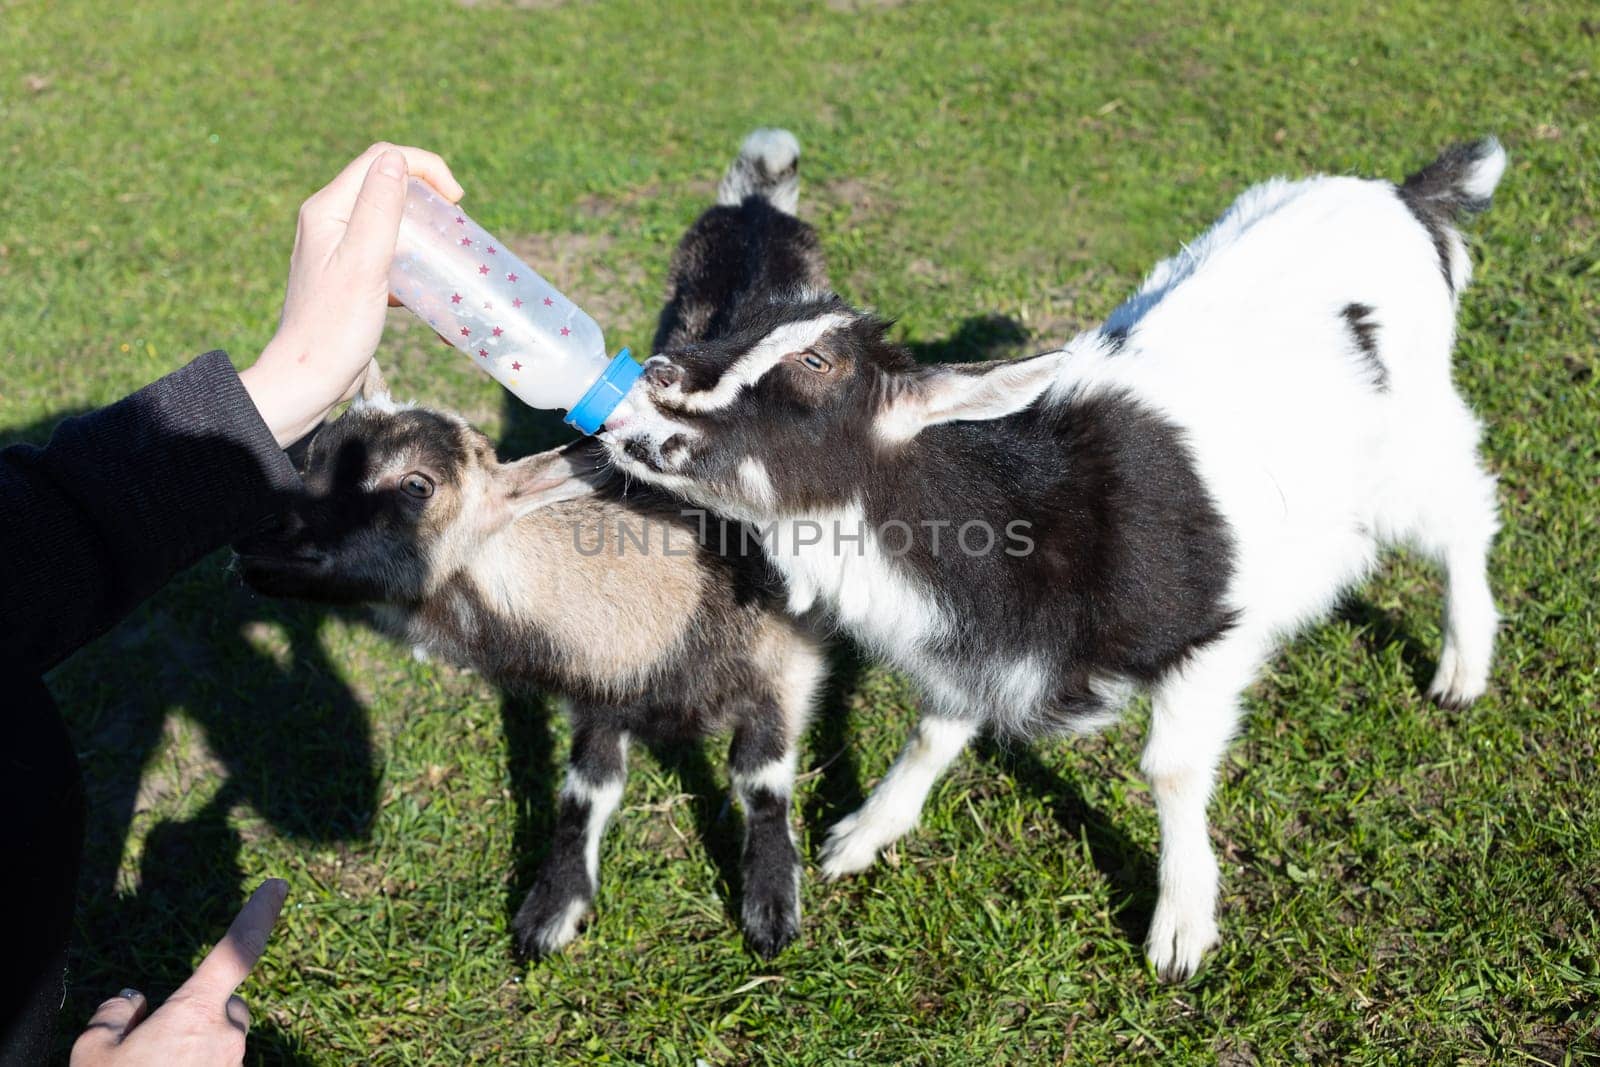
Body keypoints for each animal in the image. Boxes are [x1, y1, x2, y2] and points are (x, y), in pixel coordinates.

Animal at [240, 129, 838, 966]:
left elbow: (762, 776)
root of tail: (758, 203)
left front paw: (771, 903)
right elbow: (585, 790)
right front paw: (551, 908)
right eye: (313, 452)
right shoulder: (602, 686)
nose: (257, 543)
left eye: (417, 485)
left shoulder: (784, 654)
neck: (678, 592)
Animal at [601, 137, 1510, 979]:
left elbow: (1172, 768)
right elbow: (935, 730)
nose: (656, 374)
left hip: (1412, 444)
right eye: (738, 324)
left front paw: (1182, 925)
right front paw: (862, 835)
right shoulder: (981, 648)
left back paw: (1463, 667)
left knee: (1464, 513)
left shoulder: (1208, 636)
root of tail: (1404, 196)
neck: (1022, 516)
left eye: (817, 362)